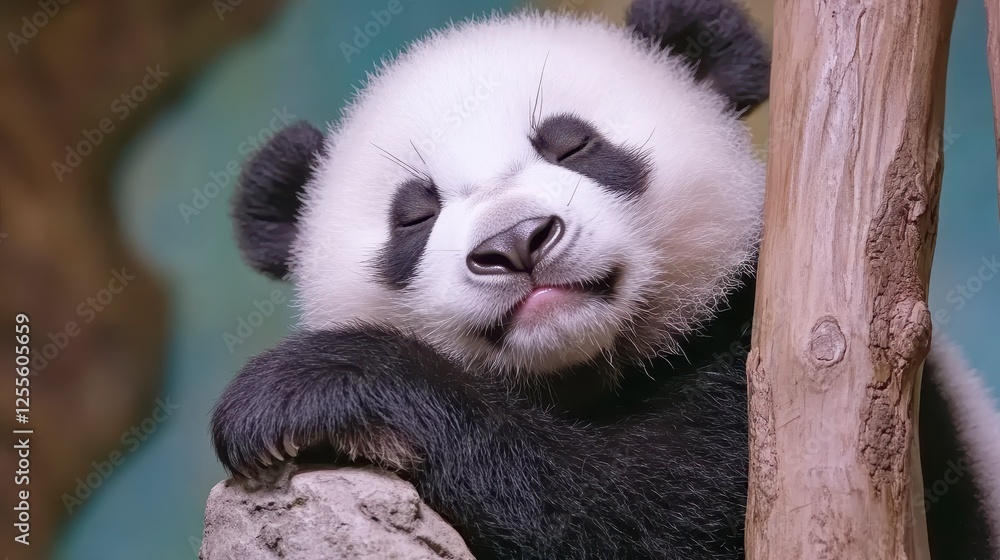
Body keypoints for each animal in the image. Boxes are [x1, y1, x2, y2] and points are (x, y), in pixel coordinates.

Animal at [210, 0, 1000, 558]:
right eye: (415, 215)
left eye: (574, 145)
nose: (516, 242)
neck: (584, 371)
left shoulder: (767, 362)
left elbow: (648, 510)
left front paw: (306, 389)